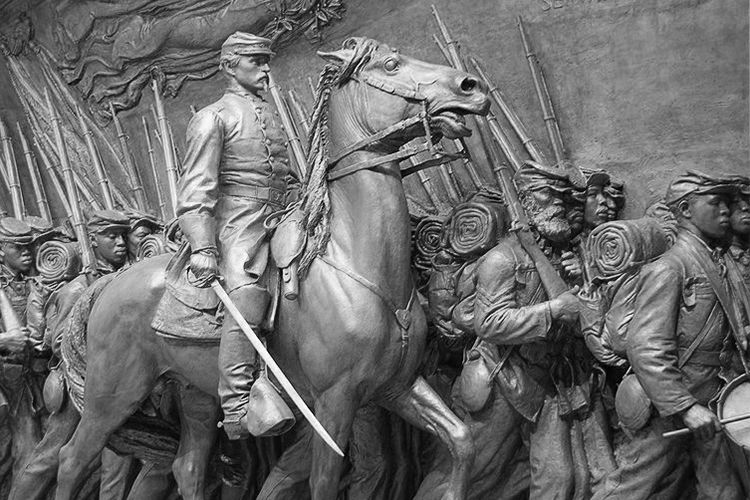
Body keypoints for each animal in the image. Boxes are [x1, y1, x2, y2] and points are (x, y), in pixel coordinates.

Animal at [42, 36, 488, 500]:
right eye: (391, 65)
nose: (471, 87)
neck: (352, 260)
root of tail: (109, 283)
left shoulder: (399, 386)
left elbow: (462, 440)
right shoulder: (335, 402)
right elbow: (325, 481)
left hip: (195, 391)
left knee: (187, 466)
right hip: (113, 393)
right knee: (72, 459)